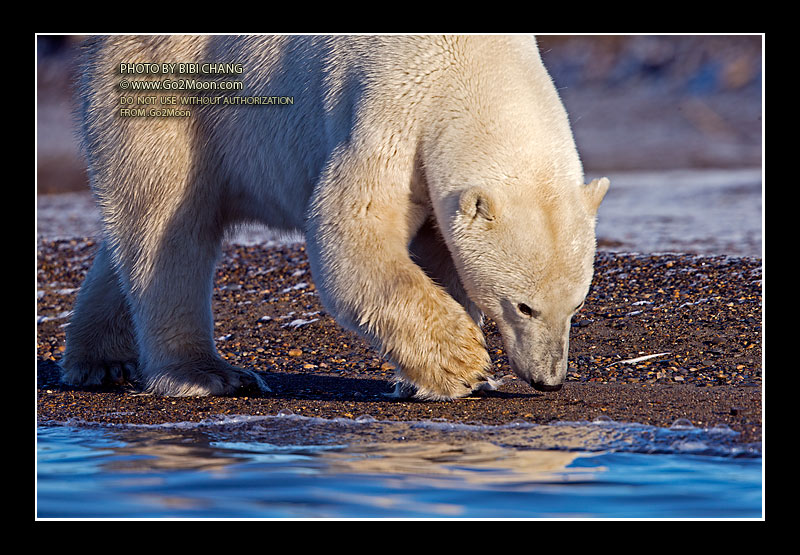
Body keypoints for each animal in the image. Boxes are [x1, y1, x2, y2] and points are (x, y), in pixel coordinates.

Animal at [60, 35, 609, 399]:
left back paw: (102, 361)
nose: (548, 379)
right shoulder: (391, 107)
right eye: (524, 306)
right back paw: (206, 374)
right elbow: (351, 233)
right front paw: (464, 363)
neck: (474, 62)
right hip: (174, 92)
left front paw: (425, 379)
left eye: (577, 305)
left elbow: (440, 248)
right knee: (168, 224)